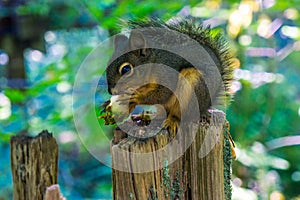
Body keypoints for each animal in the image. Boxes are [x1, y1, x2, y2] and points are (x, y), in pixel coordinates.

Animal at [102, 18, 234, 138]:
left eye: (126, 69)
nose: (111, 91)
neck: (152, 65)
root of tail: (206, 106)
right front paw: (112, 105)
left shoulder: (167, 72)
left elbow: (163, 93)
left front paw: (137, 98)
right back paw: (146, 116)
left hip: (193, 87)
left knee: (182, 114)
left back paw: (172, 120)